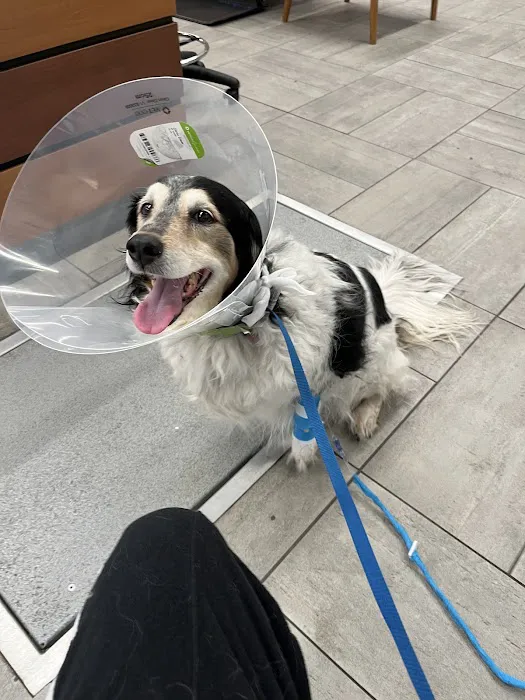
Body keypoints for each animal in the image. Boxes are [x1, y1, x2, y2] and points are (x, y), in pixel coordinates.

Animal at [123, 174, 475, 470]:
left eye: (203, 216)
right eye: (146, 208)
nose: (139, 246)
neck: (244, 321)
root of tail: (387, 300)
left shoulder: (312, 376)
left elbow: (306, 418)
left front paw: (302, 451)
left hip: (373, 362)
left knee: (384, 386)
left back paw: (364, 418)